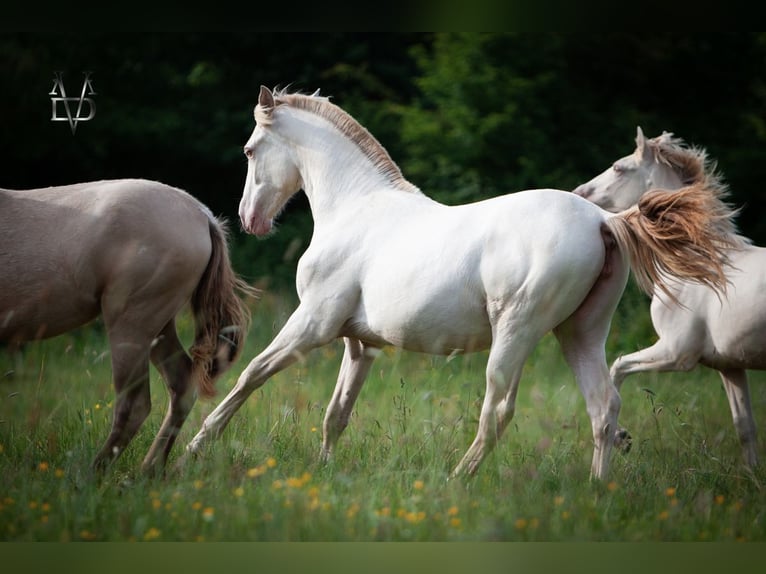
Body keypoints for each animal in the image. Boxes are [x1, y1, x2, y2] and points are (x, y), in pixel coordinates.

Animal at [0, 179, 254, 475]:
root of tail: (204, 216)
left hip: (131, 325)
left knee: (134, 405)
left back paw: (92, 474)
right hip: (158, 327)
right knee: (181, 385)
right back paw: (148, 471)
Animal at [182, 87, 739, 481]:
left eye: (250, 149)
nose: (249, 219)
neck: (357, 209)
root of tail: (605, 222)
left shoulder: (311, 325)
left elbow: (251, 374)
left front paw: (193, 447)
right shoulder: (359, 344)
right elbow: (336, 413)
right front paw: (322, 471)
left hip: (517, 332)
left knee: (499, 410)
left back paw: (458, 479)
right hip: (580, 334)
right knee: (603, 408)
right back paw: (596, 490)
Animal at [573, 128, 762, 467]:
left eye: (619, 168)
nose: (578, 192)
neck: (700, 267)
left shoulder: (677, 352)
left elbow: (617, 367)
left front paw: (621, 437)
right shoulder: (731, 366)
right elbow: (745, 427)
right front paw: (753, 476)